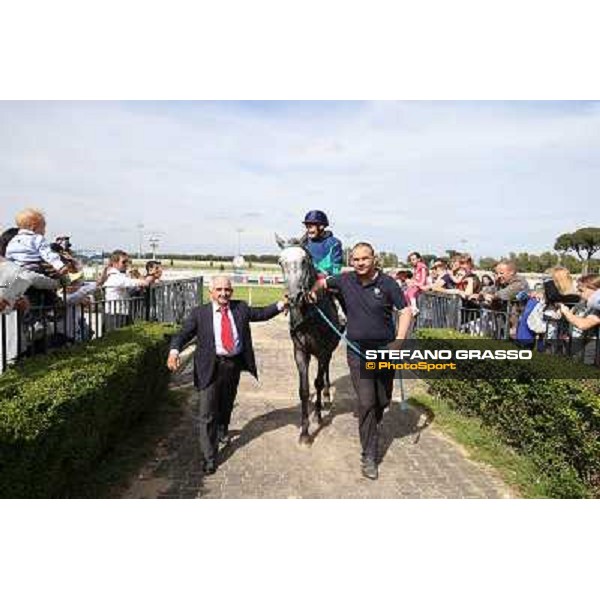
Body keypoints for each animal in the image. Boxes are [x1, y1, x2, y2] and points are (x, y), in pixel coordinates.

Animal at [276, 234, 342, 446]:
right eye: (280, 262)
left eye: (305, 260)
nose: (294, 297)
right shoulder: (300, 351)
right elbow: (304, 390)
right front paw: (304, 432)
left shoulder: (322, 350)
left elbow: (318, 383)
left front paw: (318, 416)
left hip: (330, 348)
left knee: (326, 370)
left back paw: (327, 397)